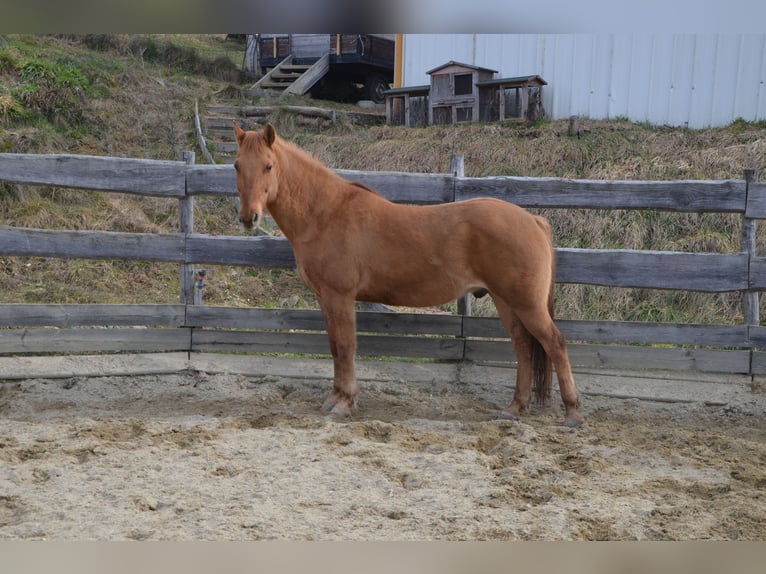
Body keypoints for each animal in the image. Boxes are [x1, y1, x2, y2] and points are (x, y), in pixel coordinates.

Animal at [232, 122, 584, 428]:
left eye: (268, 166)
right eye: (237, 166)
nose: (249, 218)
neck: (326, 212)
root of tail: (533, 220)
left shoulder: (340, 296)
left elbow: (345, 347)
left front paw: (344, 402)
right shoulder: (325, 298)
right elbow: (334, 347)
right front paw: (334, 399)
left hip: (526, 303)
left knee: (554, 343)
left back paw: (572, 414)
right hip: (505, 300)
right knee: (522, 346)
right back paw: (514, 408)